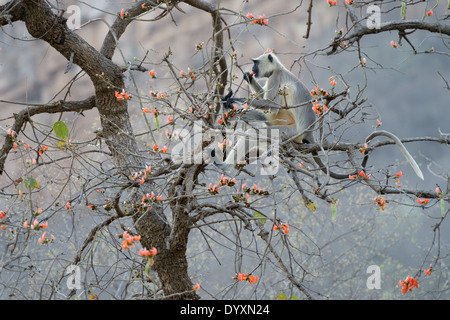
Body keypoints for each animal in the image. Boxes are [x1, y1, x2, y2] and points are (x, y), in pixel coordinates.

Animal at [223, 51, 424, 179]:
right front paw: (246, 80)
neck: (279, 69)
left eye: (256, 62)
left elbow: (271, 107)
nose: (253, 69)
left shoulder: (275, 78)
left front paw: (234, 99)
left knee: (258, 130)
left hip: (290, 132)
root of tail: (308, 133)